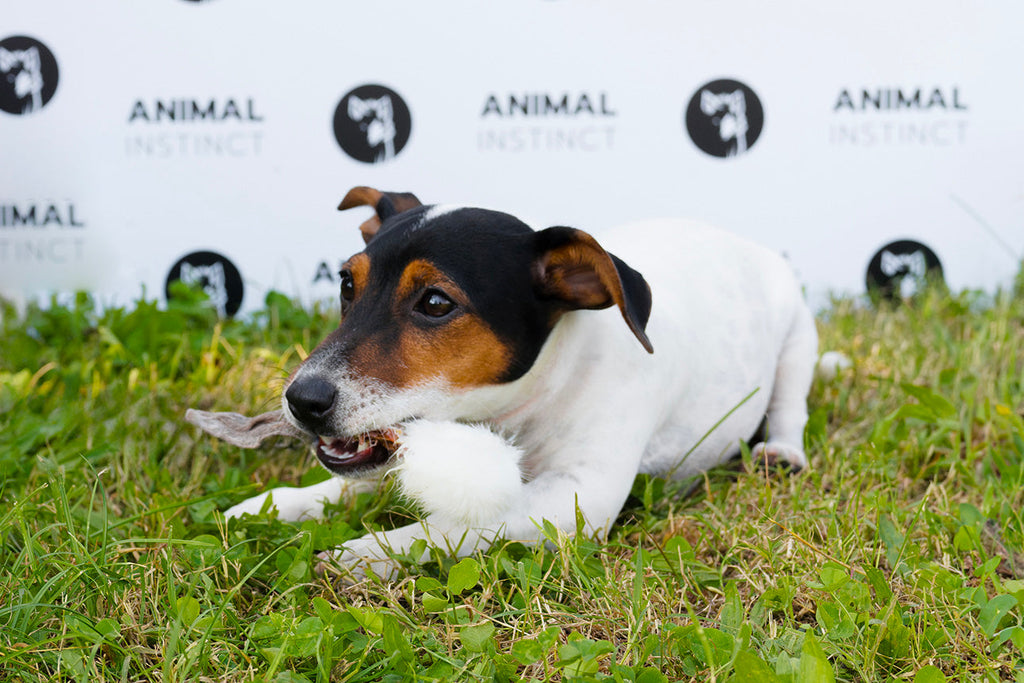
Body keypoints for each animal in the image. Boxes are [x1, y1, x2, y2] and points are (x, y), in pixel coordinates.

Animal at [188, 188, 819, 581]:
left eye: (436, 302)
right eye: (347, 283)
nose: (301, 400)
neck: (539, 394)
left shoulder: (577, 498)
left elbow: (459, 522)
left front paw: (365, 552)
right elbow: (343, 486)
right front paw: (274, 504)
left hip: (799, 340)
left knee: (791, 408)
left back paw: (780, 453)